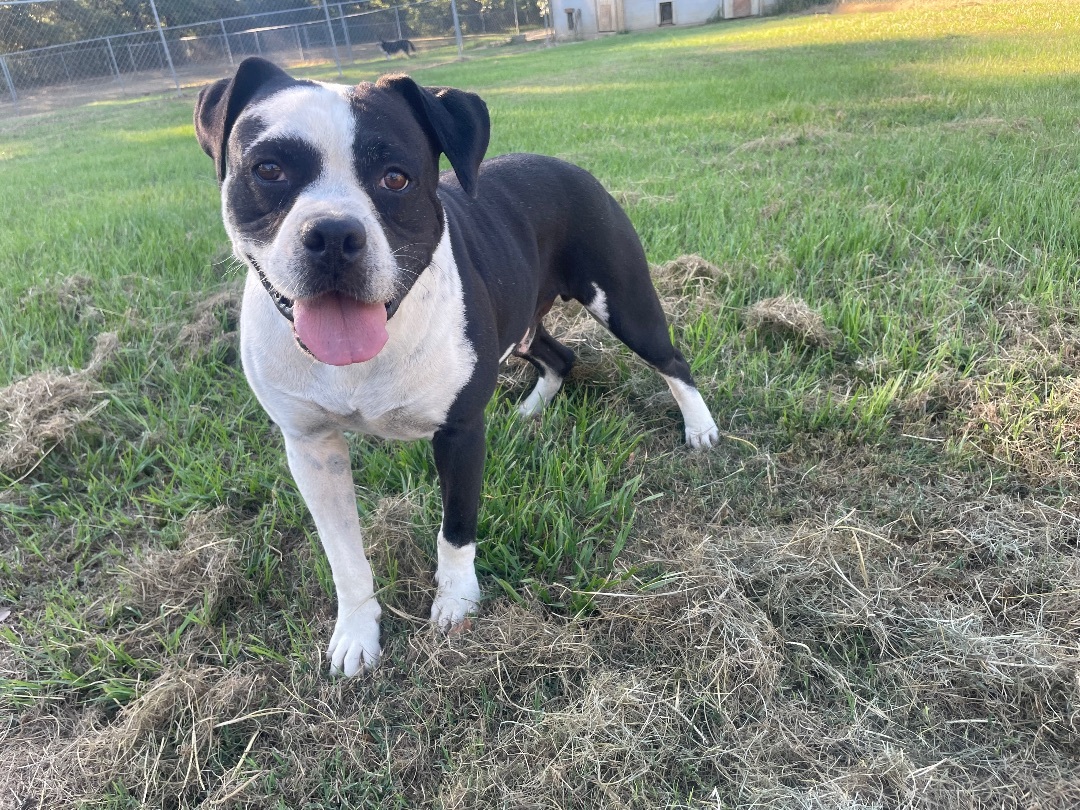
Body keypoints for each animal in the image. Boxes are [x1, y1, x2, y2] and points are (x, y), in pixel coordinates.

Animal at [196, 58, 717, 678]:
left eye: (396, 178)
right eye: (268, 170)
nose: (333, 234)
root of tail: (563, 164)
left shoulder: (460, 433)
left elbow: (456, 529)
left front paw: (456, 604)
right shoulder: (312, 448)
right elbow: (344, 553)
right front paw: (356, 631)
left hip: (624, 302)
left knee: (671, 359)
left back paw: (700, 428)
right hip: (521, 328)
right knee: (561, 356)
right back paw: (530, 410)